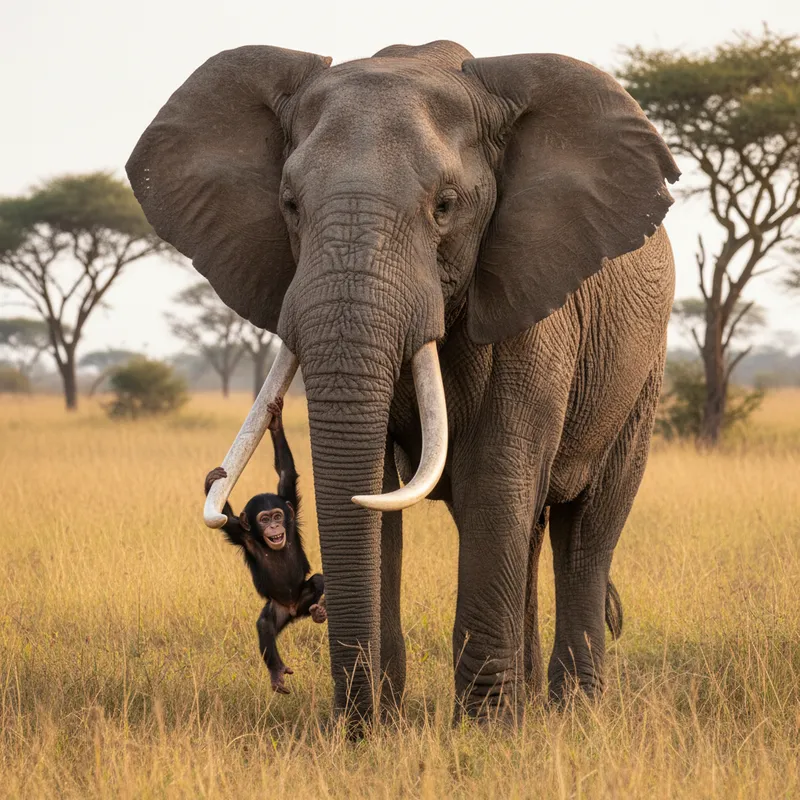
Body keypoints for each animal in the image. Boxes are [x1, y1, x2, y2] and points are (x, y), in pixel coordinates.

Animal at [204, 397, 325, 695]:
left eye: (278, 516)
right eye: (264, 519)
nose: (273, 528)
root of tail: (292, 610)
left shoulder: (291, 512)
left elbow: (286, 474)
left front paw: (276, 422)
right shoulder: (241, 533)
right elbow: (225, 518)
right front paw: (211, 482)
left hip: (302, 600)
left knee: (317, 582)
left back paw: (318, 612)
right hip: (277, 609)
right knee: (265, 625)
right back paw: (277, 670)